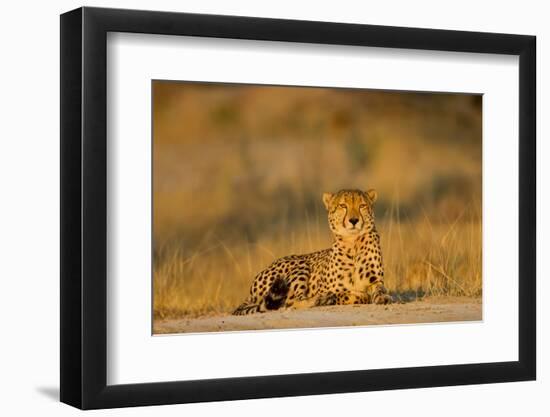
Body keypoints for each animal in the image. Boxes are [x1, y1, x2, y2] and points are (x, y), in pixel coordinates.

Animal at [233, 187, 392, 314]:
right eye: (343, 205)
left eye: (362, 205)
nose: (354, 220)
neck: (353, 243)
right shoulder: (328, 288)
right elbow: (348, 294)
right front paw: (332, 297)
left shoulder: (376, 281)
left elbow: (380, 289)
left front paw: (383, 297)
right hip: (299, 266)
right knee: (290, 301)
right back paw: (319, 300)